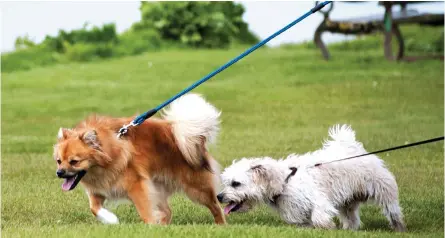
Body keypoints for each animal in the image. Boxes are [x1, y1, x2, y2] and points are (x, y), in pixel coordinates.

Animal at [53, 93, 224, 225]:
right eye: (59, 161)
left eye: (74, 161)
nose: (59, 173)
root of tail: (180, 132)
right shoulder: (99, 190)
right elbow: (94, 208)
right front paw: (111, 219)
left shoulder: (137, 185)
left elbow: (144, 211)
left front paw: (150, 225)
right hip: (157, 186)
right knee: (167, 211)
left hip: (197, 188)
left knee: (216, 207)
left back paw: (221, 225)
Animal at [218, 124, 406, 231]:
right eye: (225, 183)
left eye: (236, 183)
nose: (219, 196)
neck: (285, 181)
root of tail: (354, 148)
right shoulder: (294, 210)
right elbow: (302, 222)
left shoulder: (318, 199)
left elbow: (319, 216)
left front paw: (327, 227)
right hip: (348, 202)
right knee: (351, 217)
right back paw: (349, 230)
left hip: (383, 189)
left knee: (392, 210)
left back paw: (399, 228)